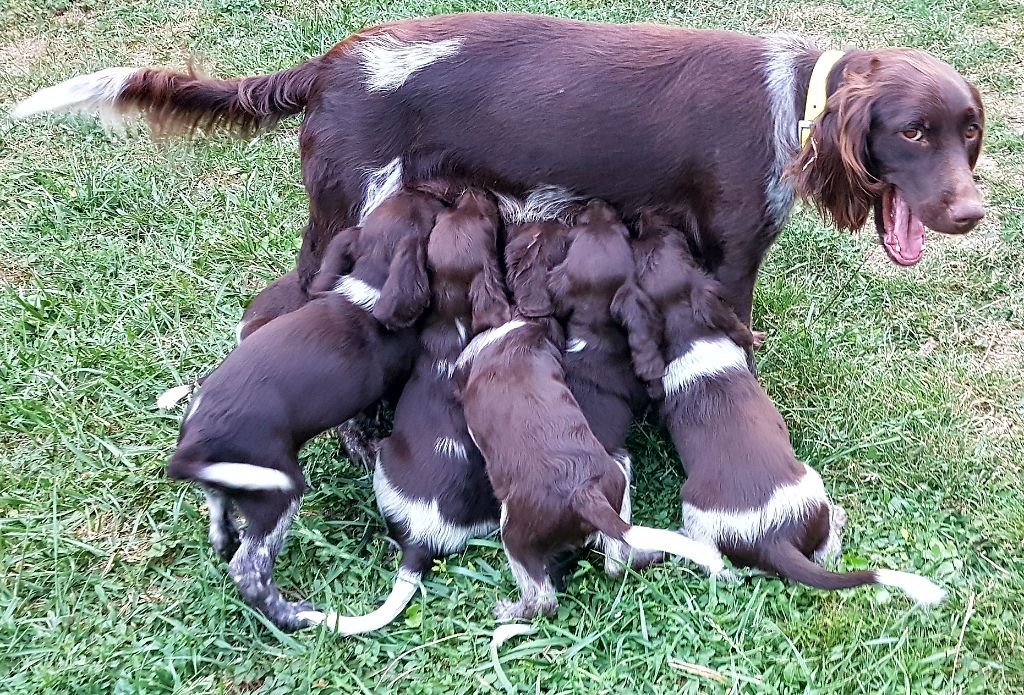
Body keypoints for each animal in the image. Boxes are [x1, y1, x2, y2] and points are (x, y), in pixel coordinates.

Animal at [14, 12, 983, 364]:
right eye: (912, 132)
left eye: (971, 132)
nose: (971, 212)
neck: (799, 104)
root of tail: (333, 62)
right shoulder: (727, 255)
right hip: (352, 212)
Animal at [164, 187, 444, 634]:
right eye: (434, 211)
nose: (432, 189)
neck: (368, 289)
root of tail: (191, 448)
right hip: (277, 495)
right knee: (250, 568)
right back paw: (291, 615)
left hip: (230, 486)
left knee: (219, 524)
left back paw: (229, 541)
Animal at [452, 221, 724, 618]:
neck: (532, 322)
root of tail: (584, 493)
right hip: (616, 478)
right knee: (617, 558)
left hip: (514, 531)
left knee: (544, 598)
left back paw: (509, 610)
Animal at [634, 220, 946, 605]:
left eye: (666, 249)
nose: (651, 226)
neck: (689, 337)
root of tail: (773, 539)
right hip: (798, 482)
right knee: (806, 555)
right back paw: (837, 519)